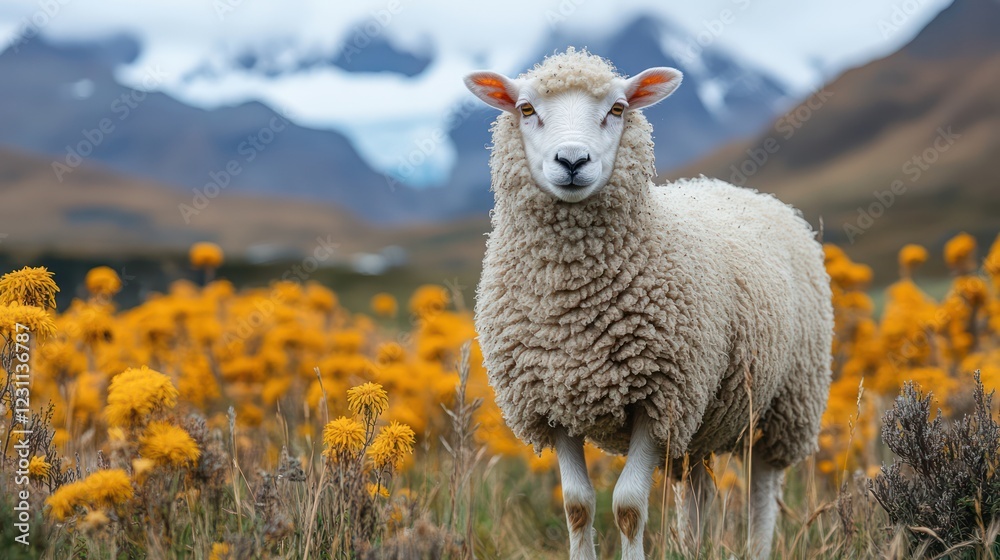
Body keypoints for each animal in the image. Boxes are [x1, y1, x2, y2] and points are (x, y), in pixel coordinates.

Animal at [463, 48, 833, 560]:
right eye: (526, 108)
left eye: (618, 108)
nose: (572, 160)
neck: (570, 306)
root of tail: (743, 190)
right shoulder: (551, 400)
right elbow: (577, 506)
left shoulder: (659, 399)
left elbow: (628, 506)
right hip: (701, 419)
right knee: (697, 489)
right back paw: (692, 547)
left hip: (786, 401)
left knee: (763, 488)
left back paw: (757, 546)